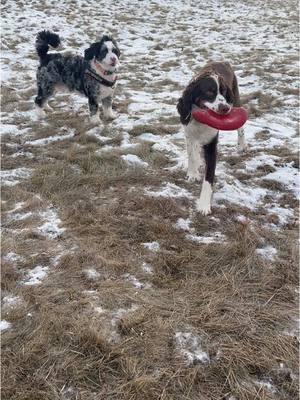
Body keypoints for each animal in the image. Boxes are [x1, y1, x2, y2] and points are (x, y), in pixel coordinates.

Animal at [176, 61, 246, 216]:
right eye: (209, 92)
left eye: (224, 92)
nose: (225, 108)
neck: (201, 122)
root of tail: (223, 61)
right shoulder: (189, 133)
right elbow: (192, 155)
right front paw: (192, 173)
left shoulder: (211, 145)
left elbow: (208, 178)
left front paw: (203, 205)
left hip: (236, 99)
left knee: (241, 128)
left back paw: (242, 146)